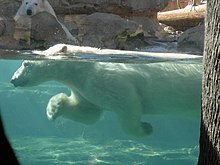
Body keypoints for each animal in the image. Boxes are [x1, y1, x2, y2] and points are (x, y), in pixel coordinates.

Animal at [10, 59, 202, 137]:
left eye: (26, 64)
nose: (13, 79)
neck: (81, 68)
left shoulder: (105, 78)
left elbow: (127, 102)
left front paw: (145, 129)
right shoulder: (84, 89)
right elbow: (88, 112)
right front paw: (54, 109)